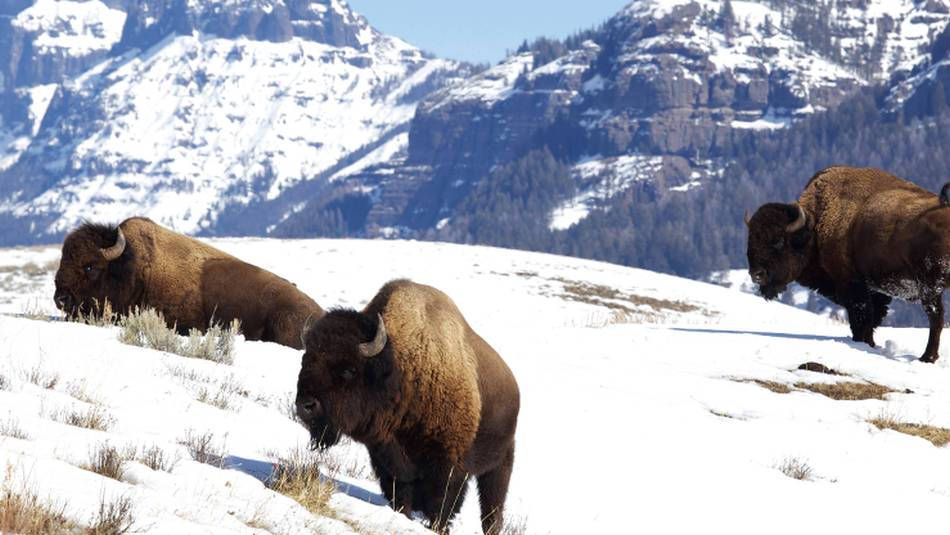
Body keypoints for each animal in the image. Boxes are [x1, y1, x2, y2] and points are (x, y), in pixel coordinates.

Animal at [295, 279, 520, 534]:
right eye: (305, 360)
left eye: (348, 370)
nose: (306, 406)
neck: (399, 370)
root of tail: (513, 384)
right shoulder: (387, 457)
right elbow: (401, 495)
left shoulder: (448, 462)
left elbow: (442, 505)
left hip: (501, 464)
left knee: (492, 507)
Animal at [746, 166, 950, 362]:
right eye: (751, 240)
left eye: (778, 241)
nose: (756, 274)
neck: (816, 223)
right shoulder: (875, 291)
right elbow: (872, 319)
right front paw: (869, 344)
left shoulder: (852, 284)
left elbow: (861, 318)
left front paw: (861, 343)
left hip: (930, 288)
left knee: (935, 317)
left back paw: (927, 358)